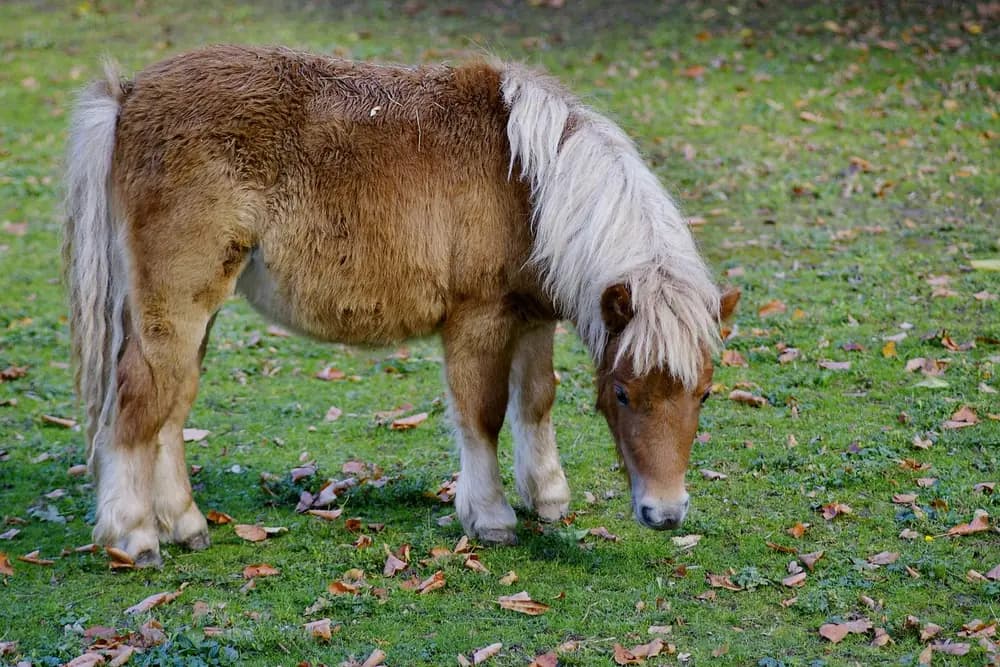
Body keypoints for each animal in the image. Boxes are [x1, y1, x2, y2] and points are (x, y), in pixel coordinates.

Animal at [64, 45, 739, 567]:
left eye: (704, 393)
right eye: (623, 393)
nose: (665, 512)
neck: (531, 185)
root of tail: (128, 96)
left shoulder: (532, 318)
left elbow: (536, 400)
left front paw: (546, 498)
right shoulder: (478, 320)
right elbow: (482, 414)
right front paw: (491, 517)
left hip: (193, 314)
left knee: (171, 408)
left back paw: (185, 524)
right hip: (175, 306)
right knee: (139, 402)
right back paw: (135, 537)